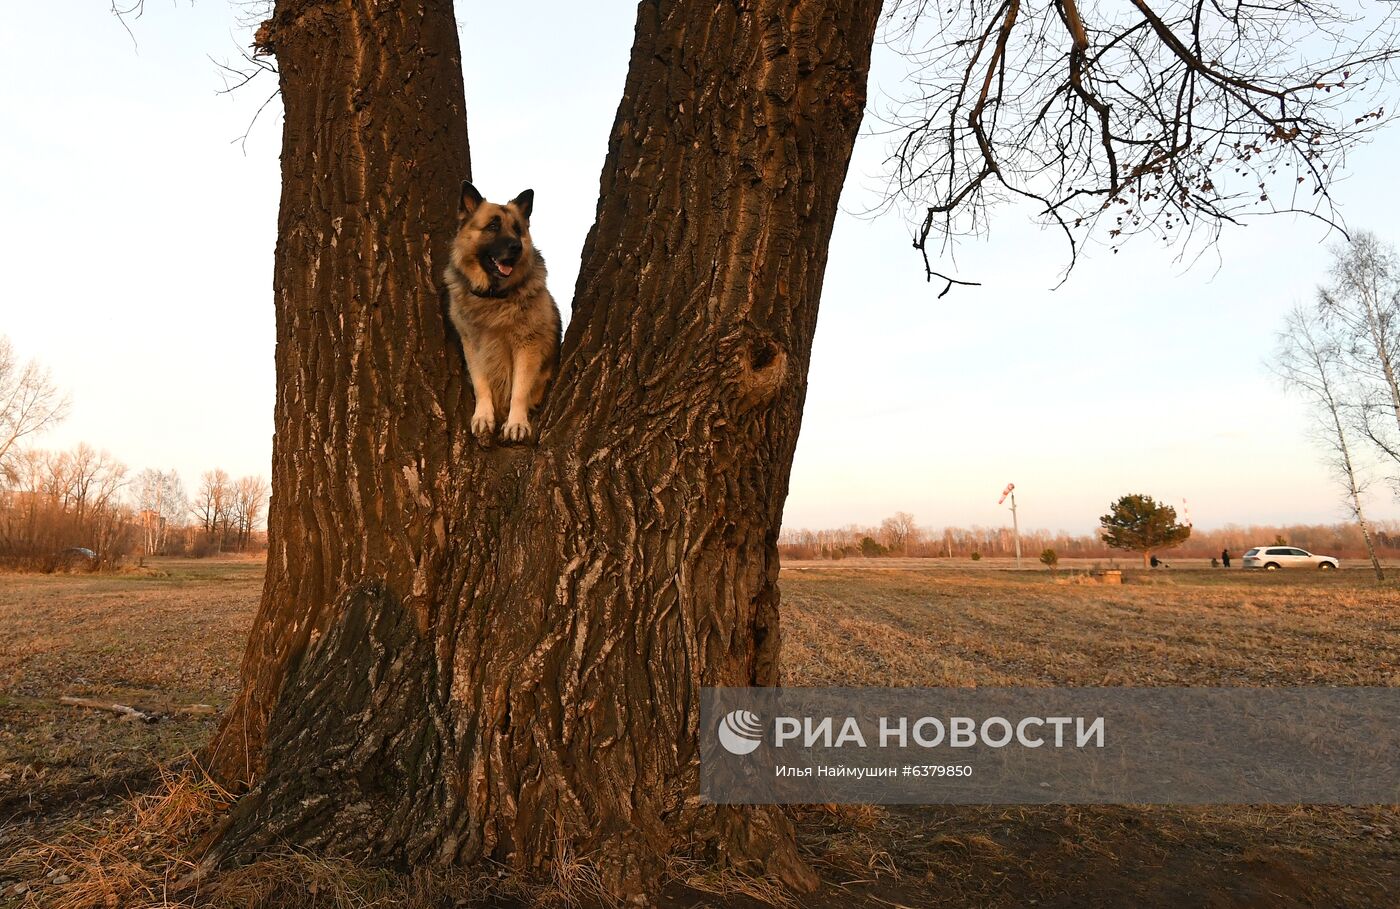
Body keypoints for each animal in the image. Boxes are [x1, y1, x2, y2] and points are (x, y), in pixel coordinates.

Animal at [445, 179, 560, 442]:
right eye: (493, 225)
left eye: (517, 229)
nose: (516, 247)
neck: (493, 297)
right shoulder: (472, 345)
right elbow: (481, 383)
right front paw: (483, 417)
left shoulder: (527, 346)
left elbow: (520, 388)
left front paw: (516, 423)